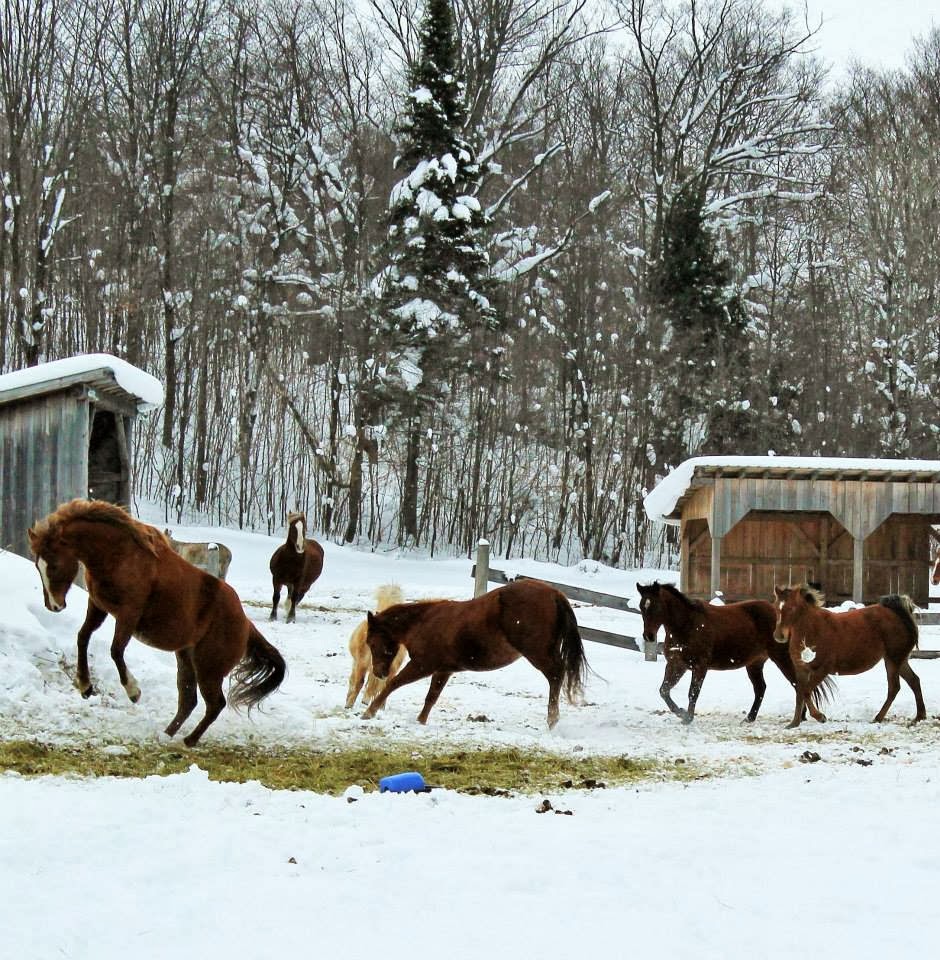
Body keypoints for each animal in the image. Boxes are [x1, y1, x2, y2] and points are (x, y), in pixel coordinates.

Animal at [29, 498, 286, 748]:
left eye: (53, 565)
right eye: (37, 565)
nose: (54, 605)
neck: (119, 556)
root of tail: (246, 625)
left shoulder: (128, 614)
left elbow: (115, 650)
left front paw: (133, 691)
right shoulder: (98, 606)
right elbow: (82, 637)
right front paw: (85, 686)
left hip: (208, 668)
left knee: (215, 704)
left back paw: (189, 740)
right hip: (186, 659)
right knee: (189, 700)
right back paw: (167, 735)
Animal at [360, 576, 588, 728]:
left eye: (371, 642)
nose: (379, 672)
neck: (422, 622)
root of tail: (554, 593)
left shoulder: (422, 665)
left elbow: (394, 684)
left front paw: (369, 712)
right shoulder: (443, 670)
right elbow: (431, 697)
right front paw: (420, 721)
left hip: (538, 653)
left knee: (556, 675)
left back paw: (552, 719)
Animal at [636, 580, 796, 724]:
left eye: (656, 607)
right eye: (641, 607)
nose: (648, 636)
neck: (687, 625)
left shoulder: (700, 667)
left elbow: (693, 693)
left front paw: (688, 718)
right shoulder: (676, 665)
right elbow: (664, 690)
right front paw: (681, 712)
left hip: (781, 657)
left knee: (796, 683)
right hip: (754, 664)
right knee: (760, 688)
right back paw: (749, 718)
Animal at [772, 584, 924, 728]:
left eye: (792, 608)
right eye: (776, 607)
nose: (779, 636)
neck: (812, 631)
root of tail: (898, 613)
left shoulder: (823, 669)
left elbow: (806, 691)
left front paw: (820, 717)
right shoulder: (801, 669)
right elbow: (800, 693)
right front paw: (794, 723)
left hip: (893, 659)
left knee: (894, 687)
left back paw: (878, 717)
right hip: (898, 660)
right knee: (914, 681)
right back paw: (919, 717)